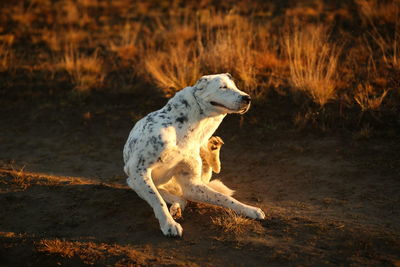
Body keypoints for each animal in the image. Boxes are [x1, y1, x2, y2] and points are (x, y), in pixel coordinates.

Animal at [123, 72, 264, 238]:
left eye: (235, 86)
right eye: (223, 87)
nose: (247, 98)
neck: (185, 129)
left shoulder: (192, 184)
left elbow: (224, 197)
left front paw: (249, 209)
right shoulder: (138, 169)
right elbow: (158, 200)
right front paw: (169, 224)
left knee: (196, 186)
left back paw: (213, 149)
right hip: (134, 182)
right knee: (172, 197)